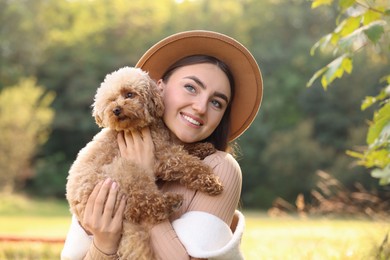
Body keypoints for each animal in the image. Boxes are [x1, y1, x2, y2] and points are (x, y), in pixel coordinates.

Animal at [66, 66, 224, 258]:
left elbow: (184, 148)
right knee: (141, 205)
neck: (139, 127)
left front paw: (204, 147)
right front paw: (211, 181)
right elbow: (186, 162)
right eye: (111, 100)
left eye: (129, 94)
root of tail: (77, 209)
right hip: (124, 171)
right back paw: (171, 202)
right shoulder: (162, 157)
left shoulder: (165, 145)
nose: (116, 109)